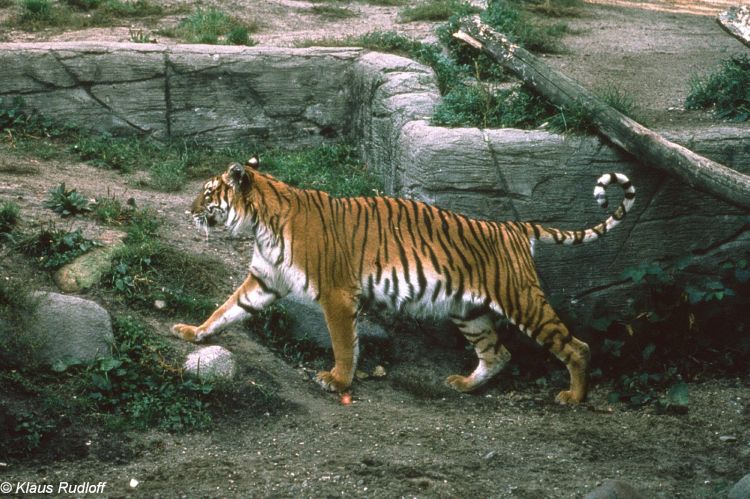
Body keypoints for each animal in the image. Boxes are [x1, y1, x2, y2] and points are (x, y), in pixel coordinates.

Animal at [172, 157, 635, 404]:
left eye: (208, 193)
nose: (187, 210)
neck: (260, 225)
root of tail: (514, 227)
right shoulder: (264, 281)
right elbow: (226, 310)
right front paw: (193, 332)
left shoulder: (337, 295)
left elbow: (344, 343)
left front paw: (337, 380)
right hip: (469, 312)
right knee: (498, 353)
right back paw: (463, 385)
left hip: (521, 300)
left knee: (576, 346)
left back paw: (573, 396)